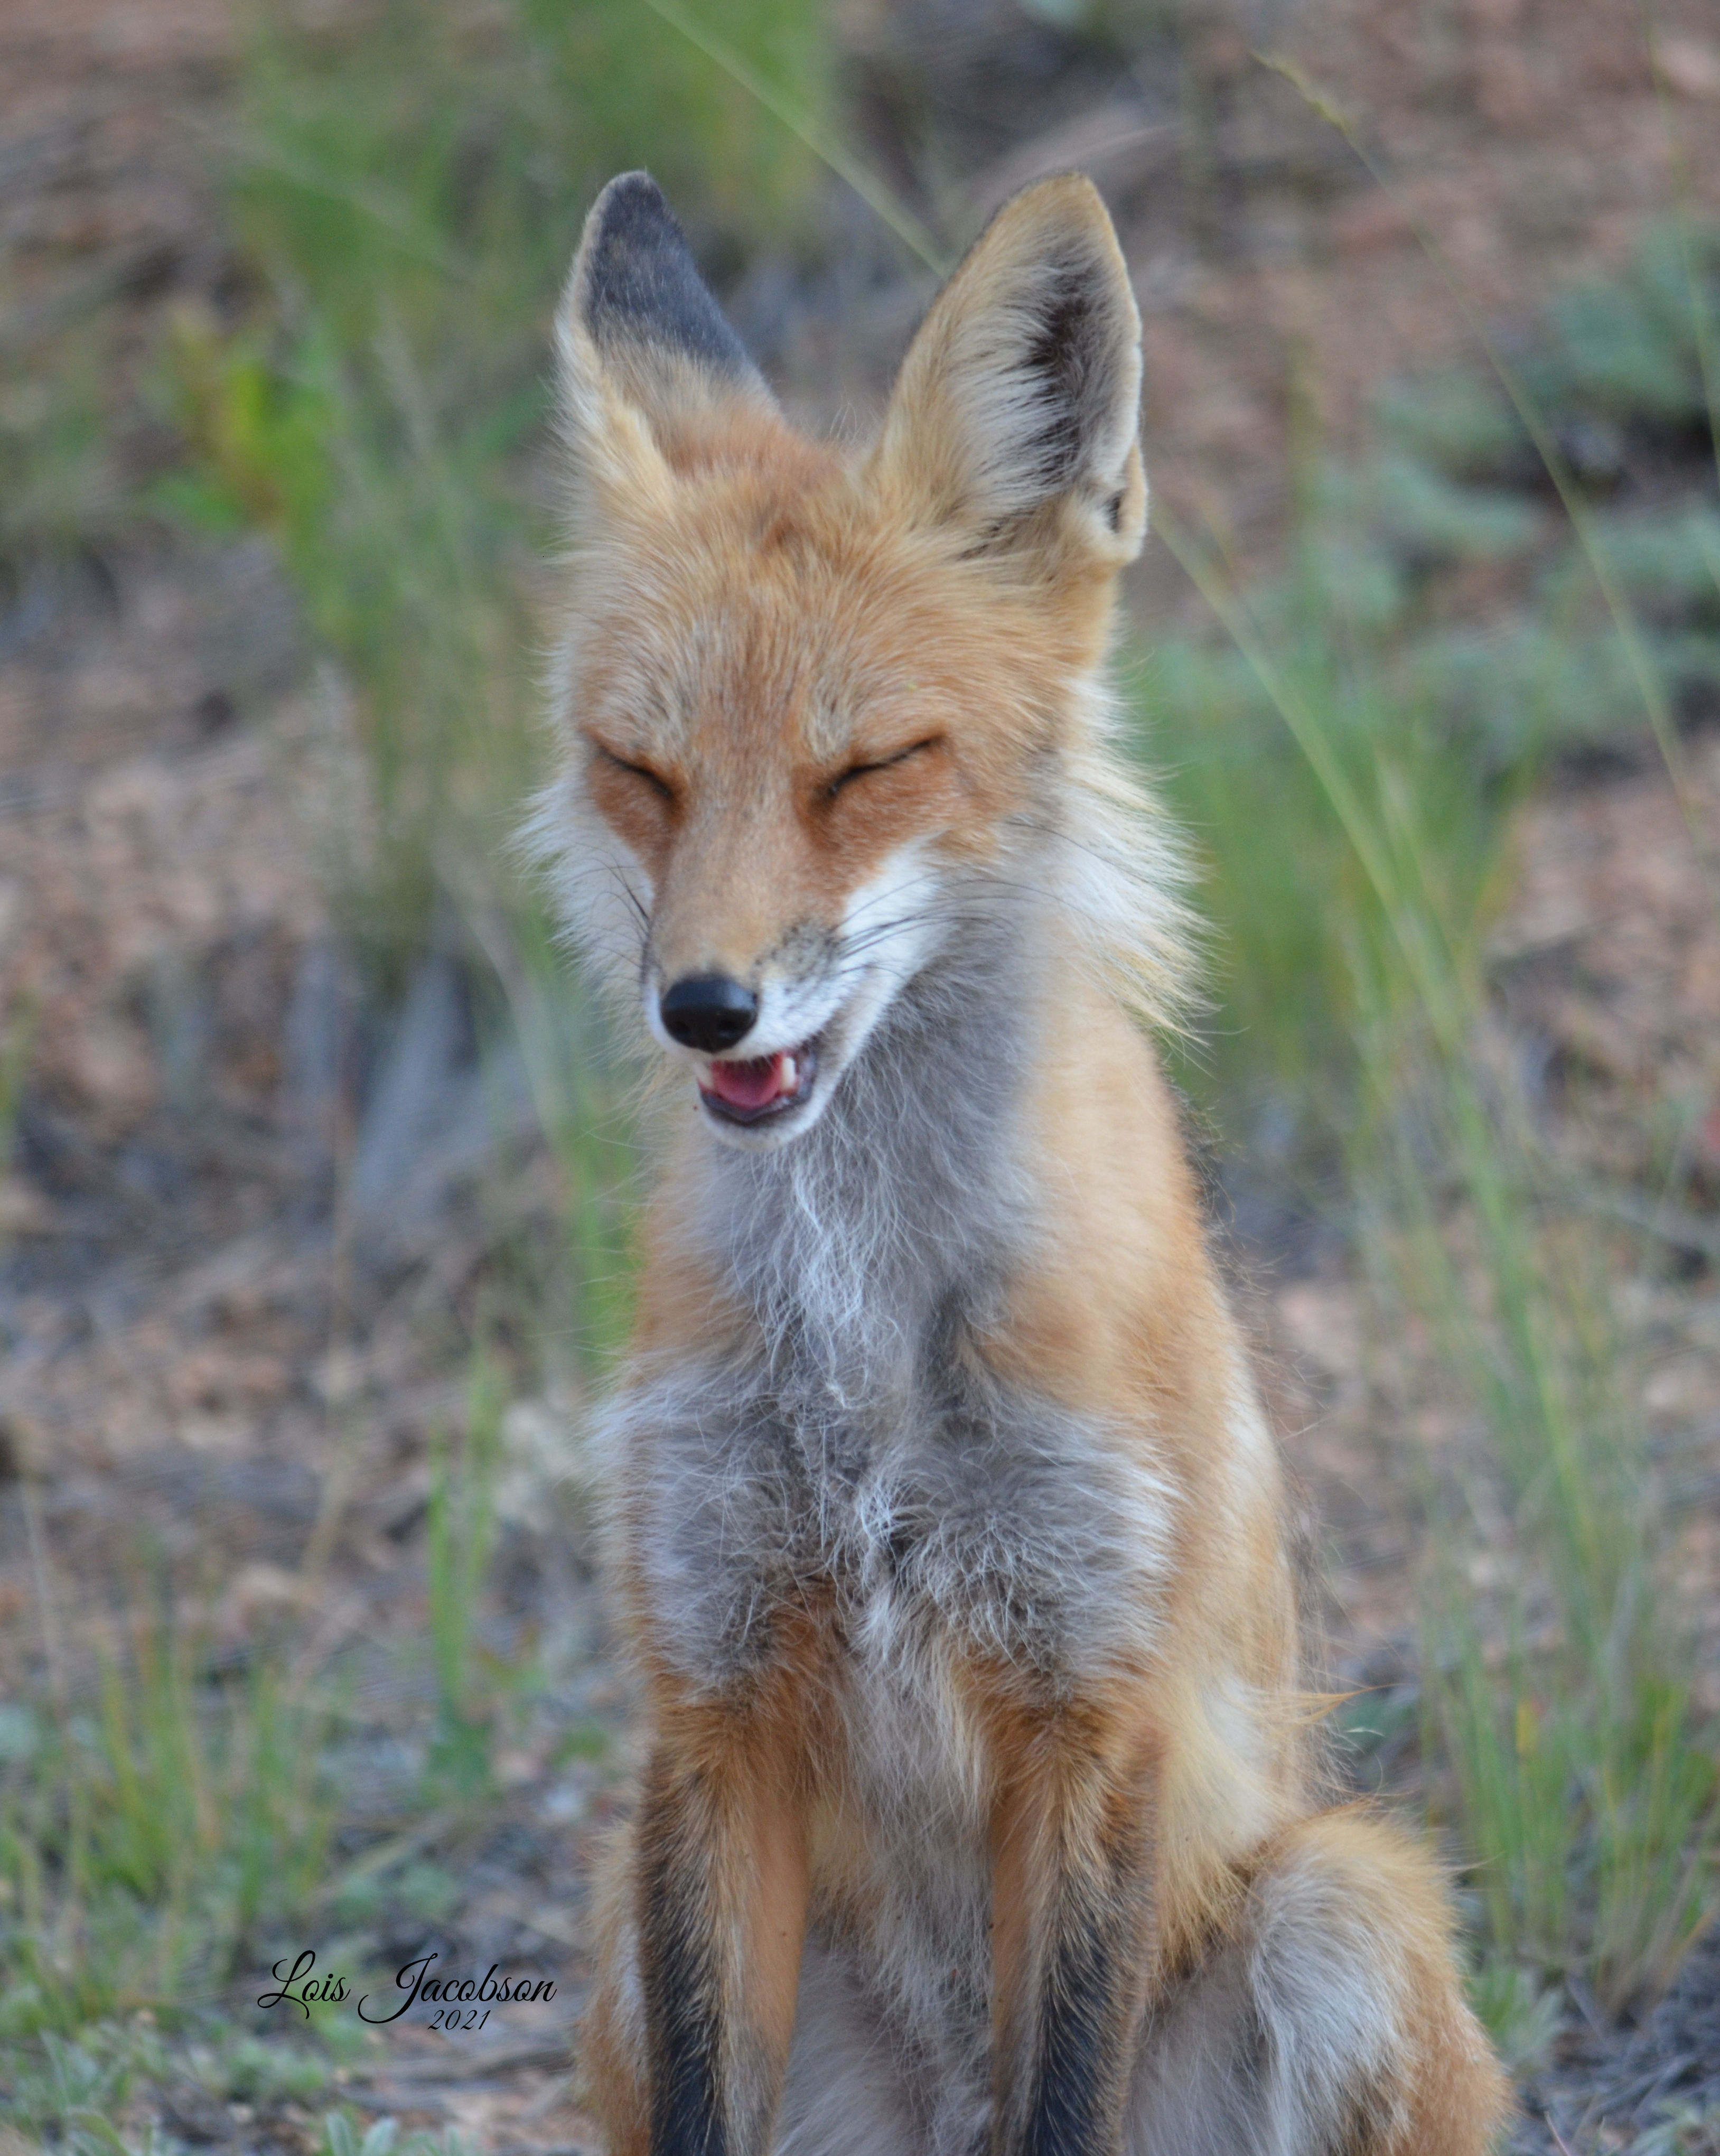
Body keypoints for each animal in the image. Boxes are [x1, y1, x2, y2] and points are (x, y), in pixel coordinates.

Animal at [529, 168, 1510, 2156]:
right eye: (637, 771)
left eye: (869, 768)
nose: (704, 1006)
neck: (860, 1338)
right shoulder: (706, 1701)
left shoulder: (1089, 1701)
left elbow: (1061, 2091)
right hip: (610, 1930)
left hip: (1341, 1901)